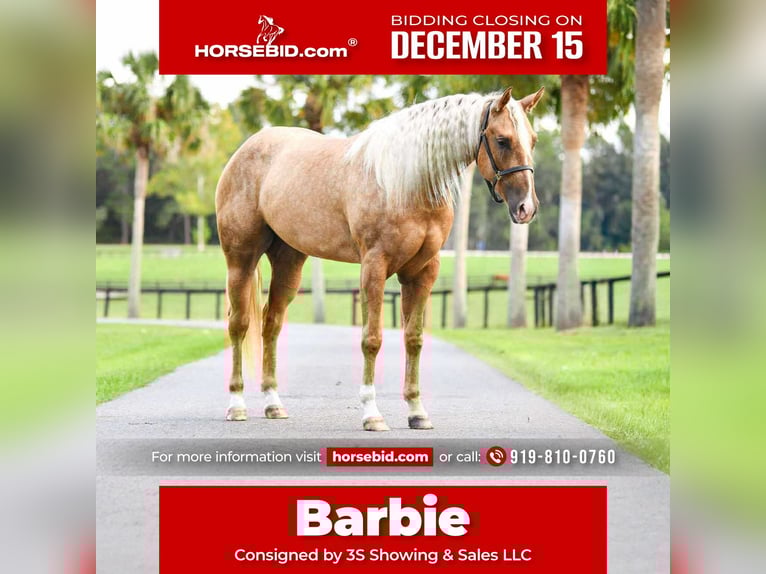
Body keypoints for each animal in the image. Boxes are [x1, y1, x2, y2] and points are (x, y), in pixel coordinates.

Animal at [215, 86, 544, 431]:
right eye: (502, 140)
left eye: (533, 140)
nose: (526, 208)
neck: (407, 182)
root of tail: (246, 149)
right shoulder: (374, 267)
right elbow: (371, 339)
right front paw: (372, 414)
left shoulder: (422, 272)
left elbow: (413, 338)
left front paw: (417, 411)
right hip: (241, 260)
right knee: (239, 324)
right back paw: (236, 405)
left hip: (289, 262)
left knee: (271, 324)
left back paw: (273, 404)